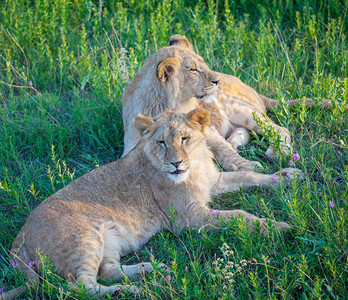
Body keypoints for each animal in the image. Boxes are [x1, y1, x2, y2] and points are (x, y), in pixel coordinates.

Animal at [2, 110, 300, 300]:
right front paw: (278, 227)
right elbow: (239, 215)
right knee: (77, 287)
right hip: (82, 239)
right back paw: (126, 291)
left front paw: (287, 176)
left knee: (108, 271)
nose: (175, 163)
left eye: (184, 139)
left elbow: (248, 176)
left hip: (108, 239)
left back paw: (152, 269)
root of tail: (18, 237)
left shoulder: (212, 183)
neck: (195, 166)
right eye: (161, 142)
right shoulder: (188, 218)